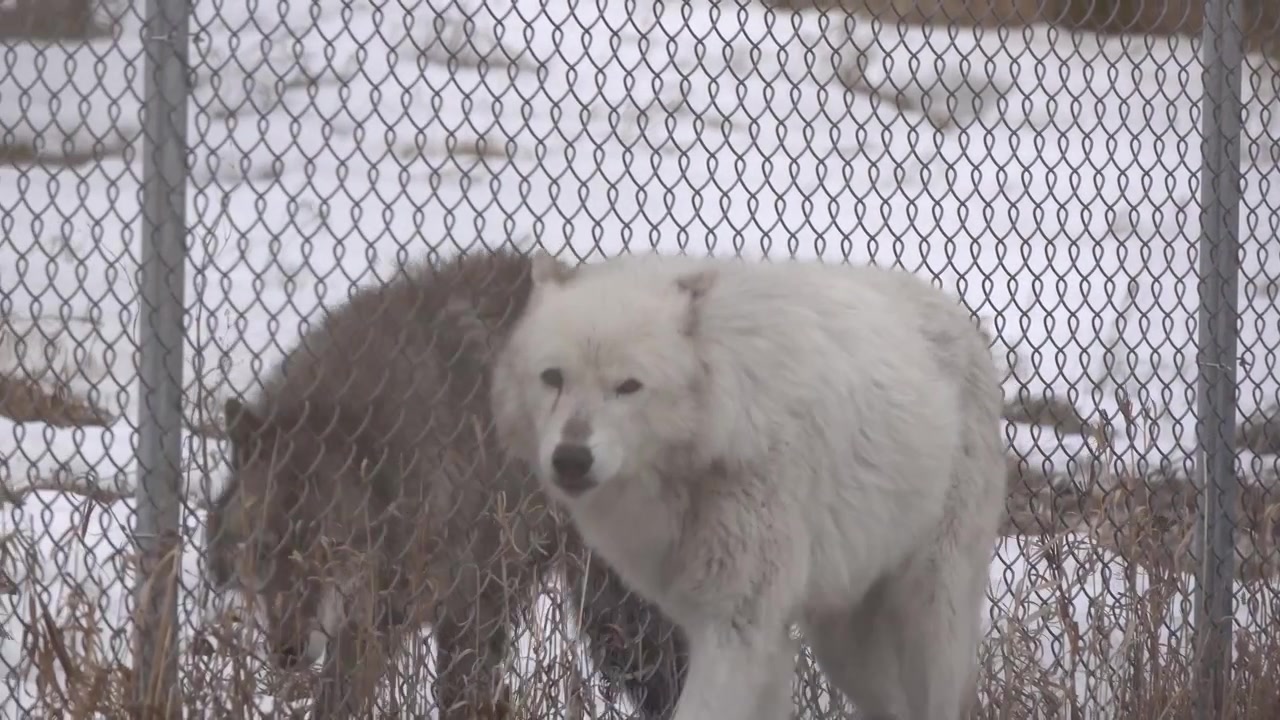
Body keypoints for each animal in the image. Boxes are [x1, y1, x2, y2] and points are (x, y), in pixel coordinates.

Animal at [488, 251, 1007, 720]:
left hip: (931, 613)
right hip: (840, 641)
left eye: (628, 386)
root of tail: (959, 317)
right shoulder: (749, 632)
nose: (571, 459)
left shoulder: (737, 626)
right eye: (553, 378)